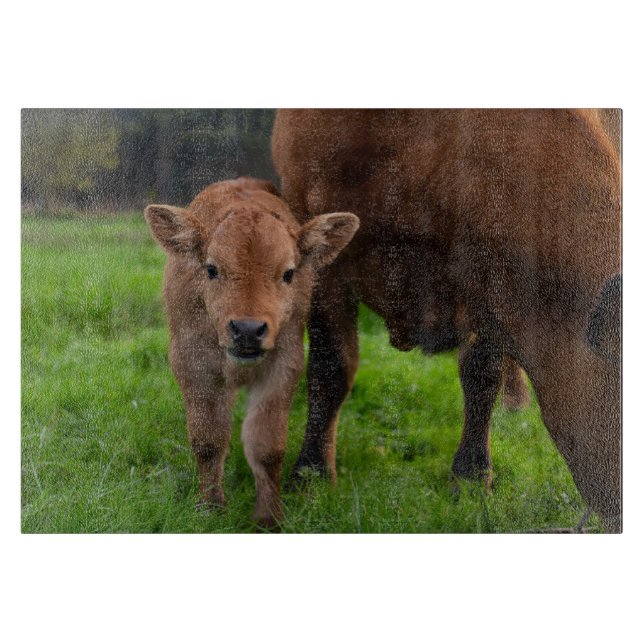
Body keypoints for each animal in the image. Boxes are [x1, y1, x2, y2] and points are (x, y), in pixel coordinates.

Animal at [144, 177, 359, 528]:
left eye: (288, 273)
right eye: (211, 269)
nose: (247, 329)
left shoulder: (284, 365)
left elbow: (267, 446)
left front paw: (270, 518)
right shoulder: (192, 364)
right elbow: (208, 439)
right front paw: (209, 508)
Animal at [272, 109, 621, 532]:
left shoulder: (489, 278)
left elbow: (482, 375)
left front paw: (471, 478)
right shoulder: (319, 241)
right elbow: (331, 367)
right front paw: (311, 477)